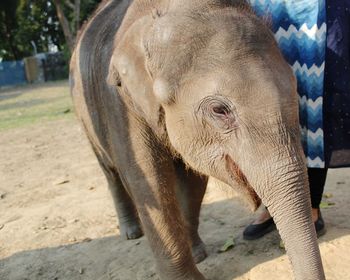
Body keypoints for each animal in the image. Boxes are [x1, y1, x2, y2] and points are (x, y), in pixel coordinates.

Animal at [69, 0, 324, 280]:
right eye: (219, 110)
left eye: (296, 89)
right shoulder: (120, 105)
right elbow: (149, 182)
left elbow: (193, 181)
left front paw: (198, 254)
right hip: (84, 115)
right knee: (110, 172)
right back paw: (132, 232)